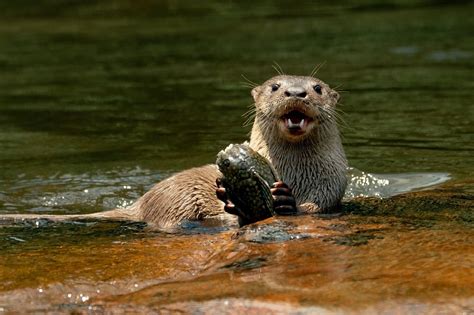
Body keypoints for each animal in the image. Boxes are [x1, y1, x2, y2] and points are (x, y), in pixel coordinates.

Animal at [0, 75, 348, 231]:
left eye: (317, 88)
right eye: (276, 86)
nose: (296, 92)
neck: (293, 173)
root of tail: (142, 201)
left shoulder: (330, 184)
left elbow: (315, 207)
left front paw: (287, 202)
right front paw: (230, 198)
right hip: (178, 202)